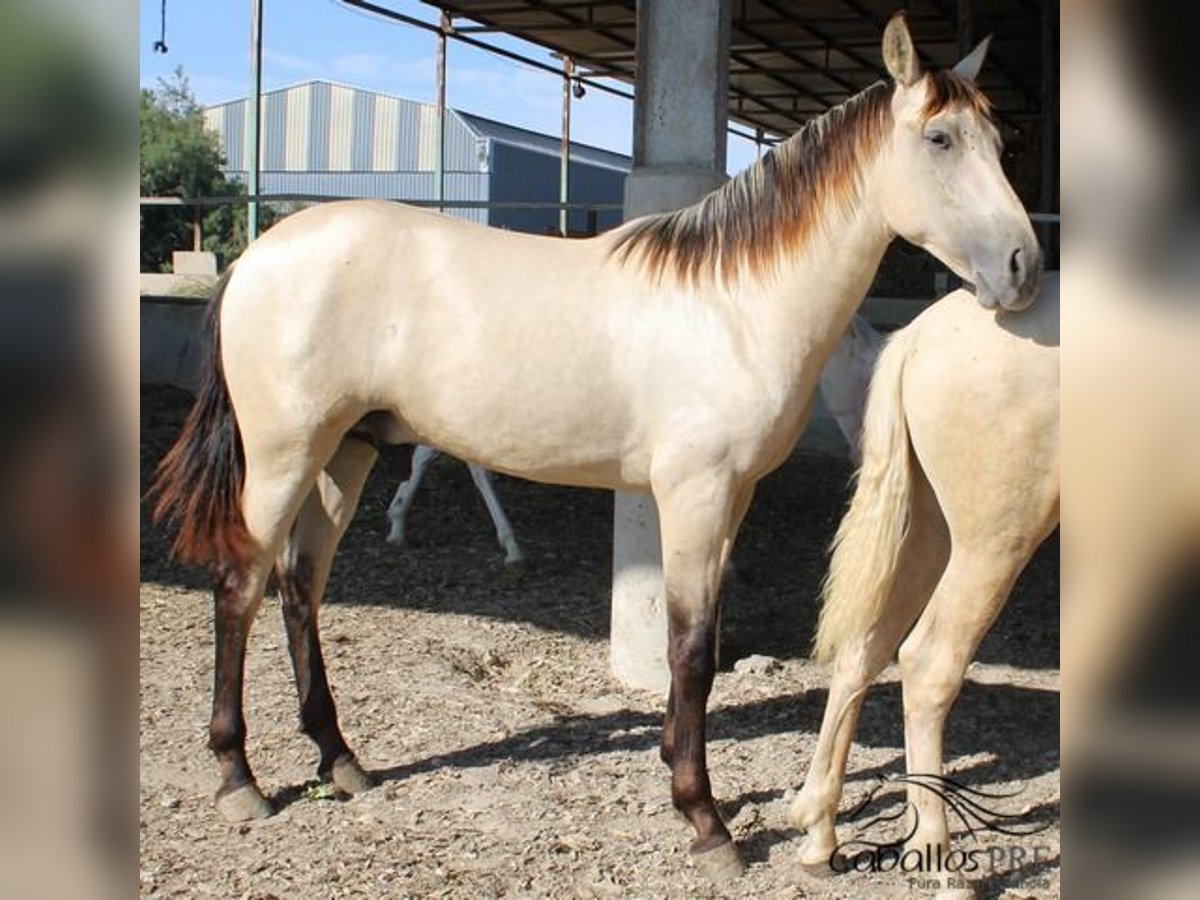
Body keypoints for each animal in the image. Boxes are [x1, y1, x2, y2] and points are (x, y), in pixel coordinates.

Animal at [787, 274, 1060, 897]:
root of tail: (917, 339)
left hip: (928, 532)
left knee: (863, 649)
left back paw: (819, 832)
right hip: (992, 542)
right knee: (928, 663)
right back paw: (939, 861)